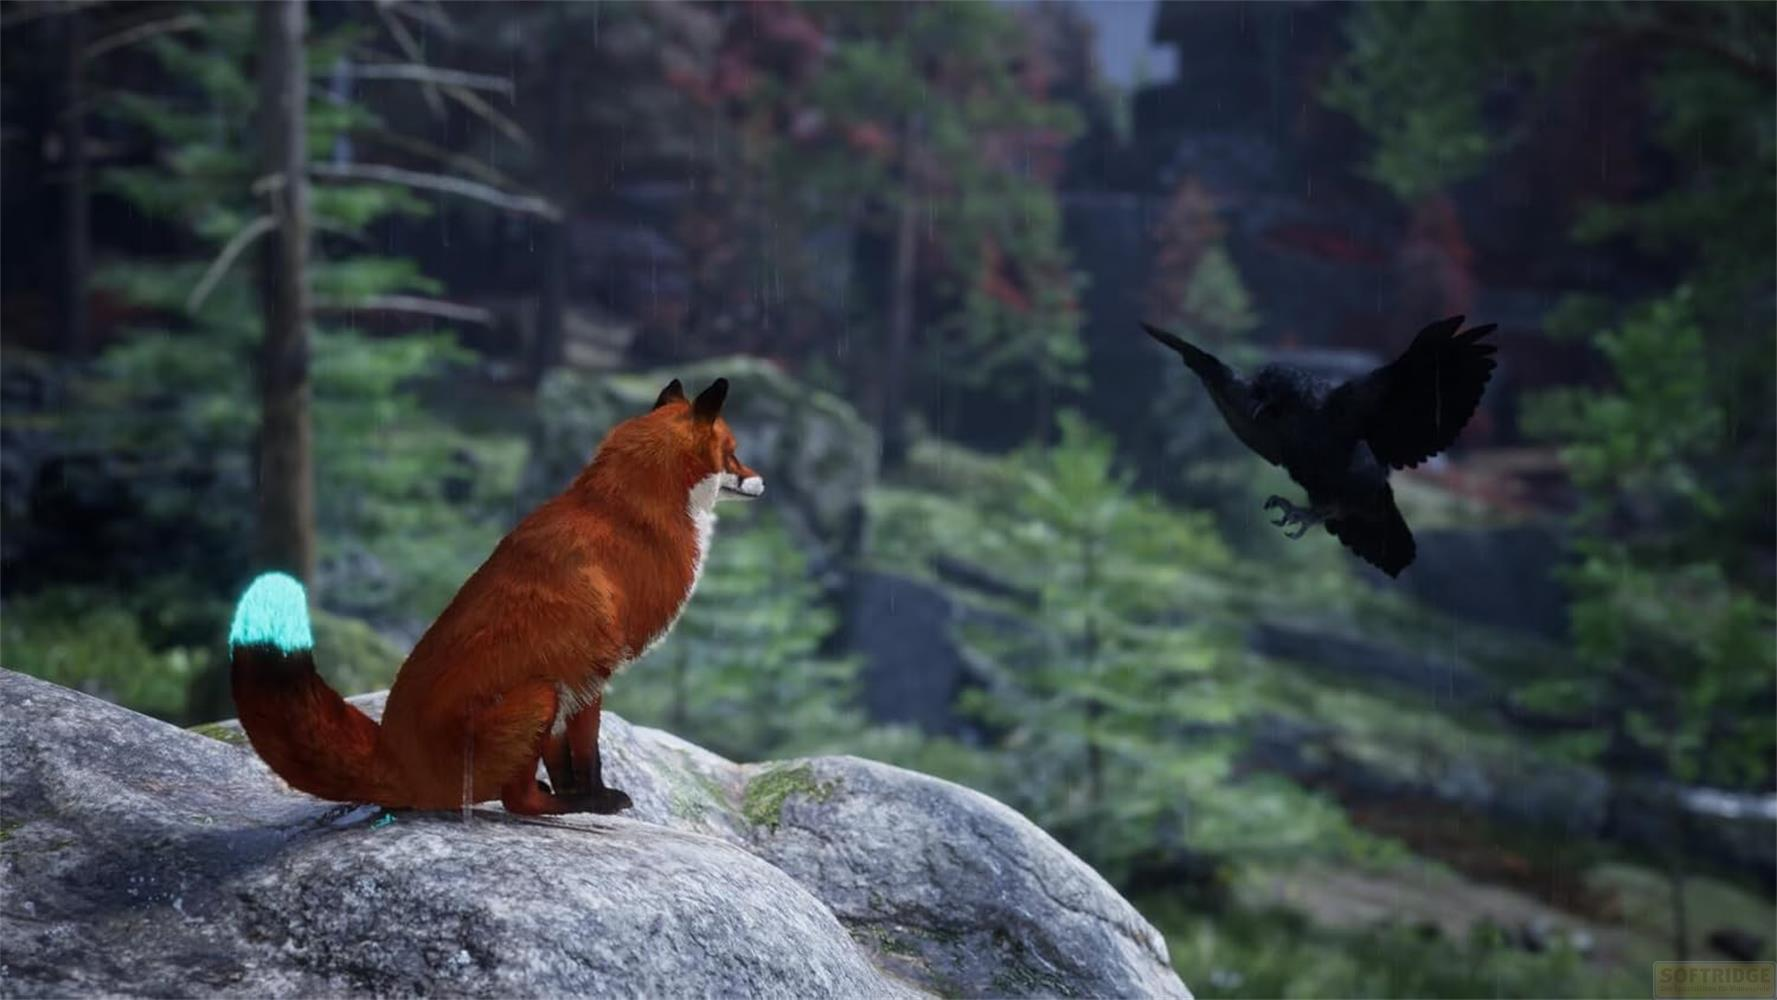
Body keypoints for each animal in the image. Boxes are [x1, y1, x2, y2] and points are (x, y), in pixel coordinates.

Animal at [227, 377, 763, 815]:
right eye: (733, 452)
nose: (761, 480)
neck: (627, 514)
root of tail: (394, 758)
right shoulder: (589, 671)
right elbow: (588, 753)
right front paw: (594, 800)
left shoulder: (573, 679)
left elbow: (566, 760)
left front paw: (576, 792)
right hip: (537, 697)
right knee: (516, 800)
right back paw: (562, 807)